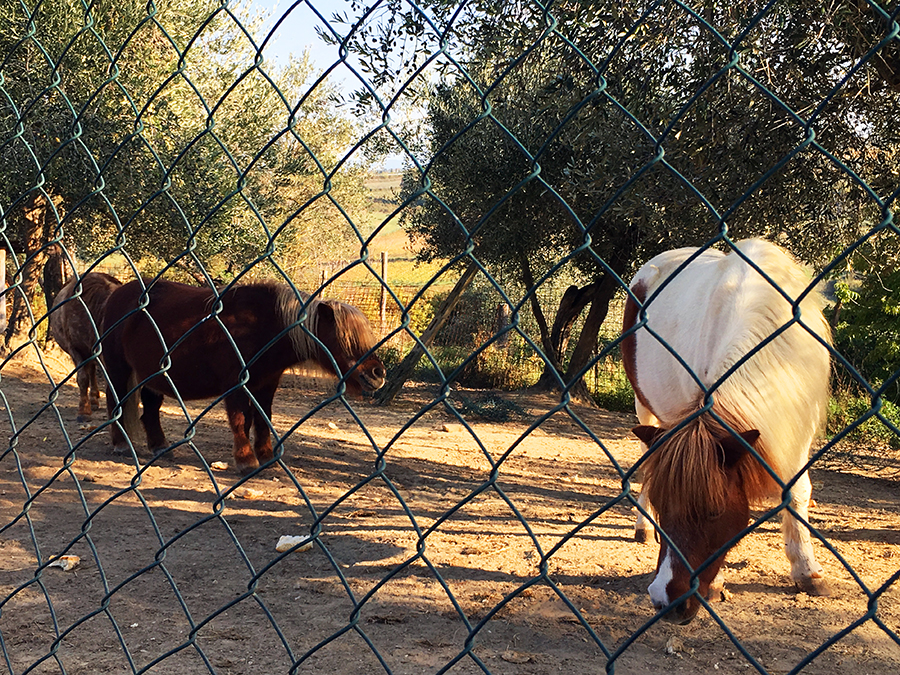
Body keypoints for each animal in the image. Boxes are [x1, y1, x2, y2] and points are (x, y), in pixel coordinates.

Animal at [102, 280, 386, 476]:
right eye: (346, 339)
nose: (378, 374)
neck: (262, 327)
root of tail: (116, 293)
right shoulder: (236, 385)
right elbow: (241, 421)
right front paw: (246, 460)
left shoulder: (266, 384)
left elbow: (262, 419)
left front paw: (267, 456)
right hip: (118, 369)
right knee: (116, 404)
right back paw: (121, 445)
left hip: (151, 376)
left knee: (150, 410)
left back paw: (160, 446)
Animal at [624, 240, 832, 624]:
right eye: (663, 507)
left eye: (714, 512)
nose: (666, 601)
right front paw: (718, 582)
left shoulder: (799, 428)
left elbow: (798, 492)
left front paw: (807, 570)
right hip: (645, 405)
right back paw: (642, 526)